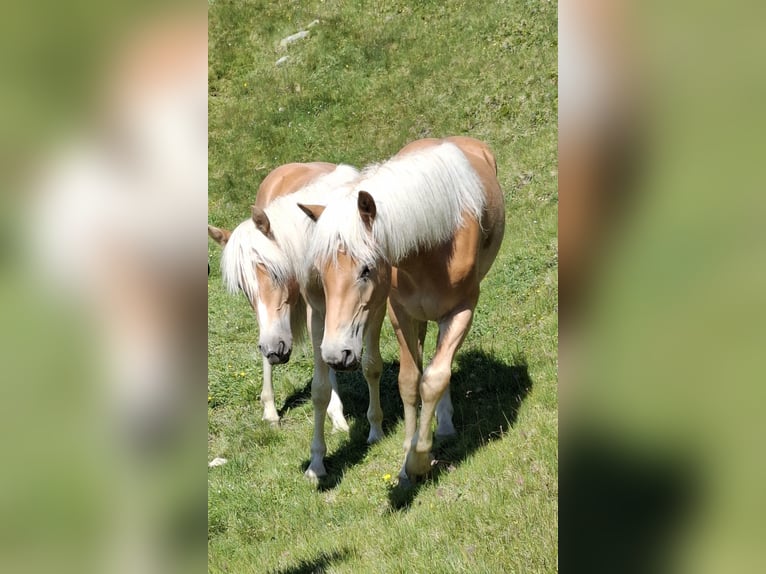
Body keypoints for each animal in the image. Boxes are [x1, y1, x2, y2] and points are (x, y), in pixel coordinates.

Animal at [298, 136, 505, 482]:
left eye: (366, 269)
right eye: (322, 274)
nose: (335, 354)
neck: (433, 244)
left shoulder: (462, 311)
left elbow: (434, 378)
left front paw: (419, 458)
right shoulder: (401, 314)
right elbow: (409, 382)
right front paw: (409, 455)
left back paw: (443, 425)